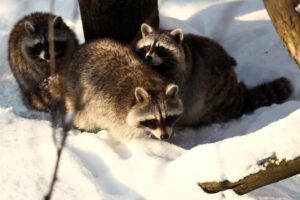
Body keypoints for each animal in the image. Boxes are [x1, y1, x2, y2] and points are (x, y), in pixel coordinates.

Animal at [135, 23, 290, 126]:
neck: (160, 68)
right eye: (147, 47)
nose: (148, 57)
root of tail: (239, 96)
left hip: (214, 96)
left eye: (161, 48)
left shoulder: (182, 80)